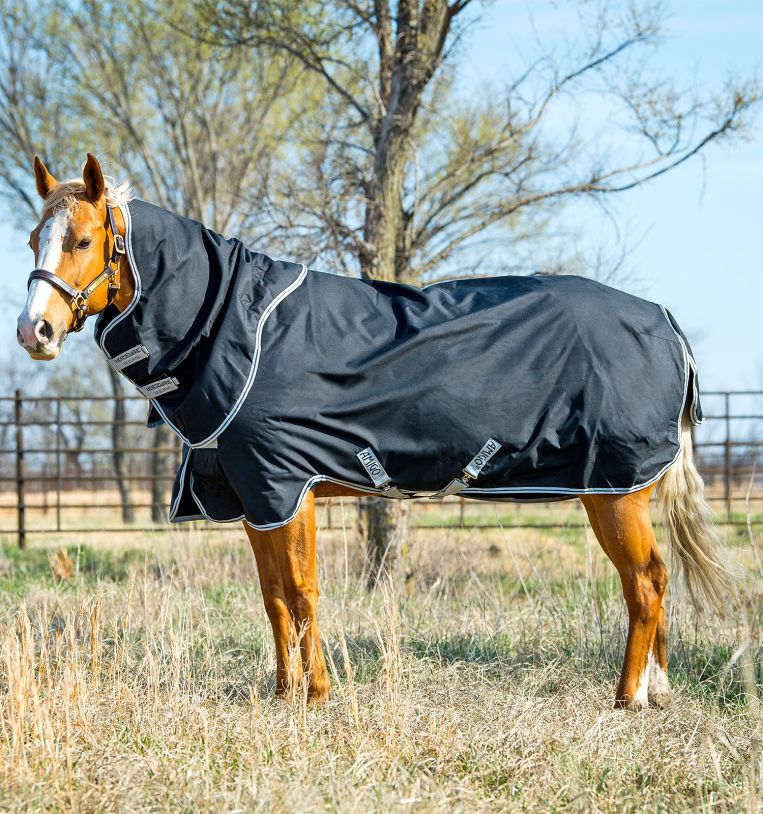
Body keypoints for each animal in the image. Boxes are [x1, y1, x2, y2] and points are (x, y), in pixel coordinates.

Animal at [17, 153, 734, 710]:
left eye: (81, 241)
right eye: (32, 240)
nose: (34, 332)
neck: (238, 330)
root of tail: (664, 321)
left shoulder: (287, 487)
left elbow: (302, 593)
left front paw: (317, 694)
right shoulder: (255, 498)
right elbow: (273, 598)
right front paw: (283, 693)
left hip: (613, 489)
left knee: (644, 581)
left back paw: (627, 697)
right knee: (653, 579)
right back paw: (656, 689)